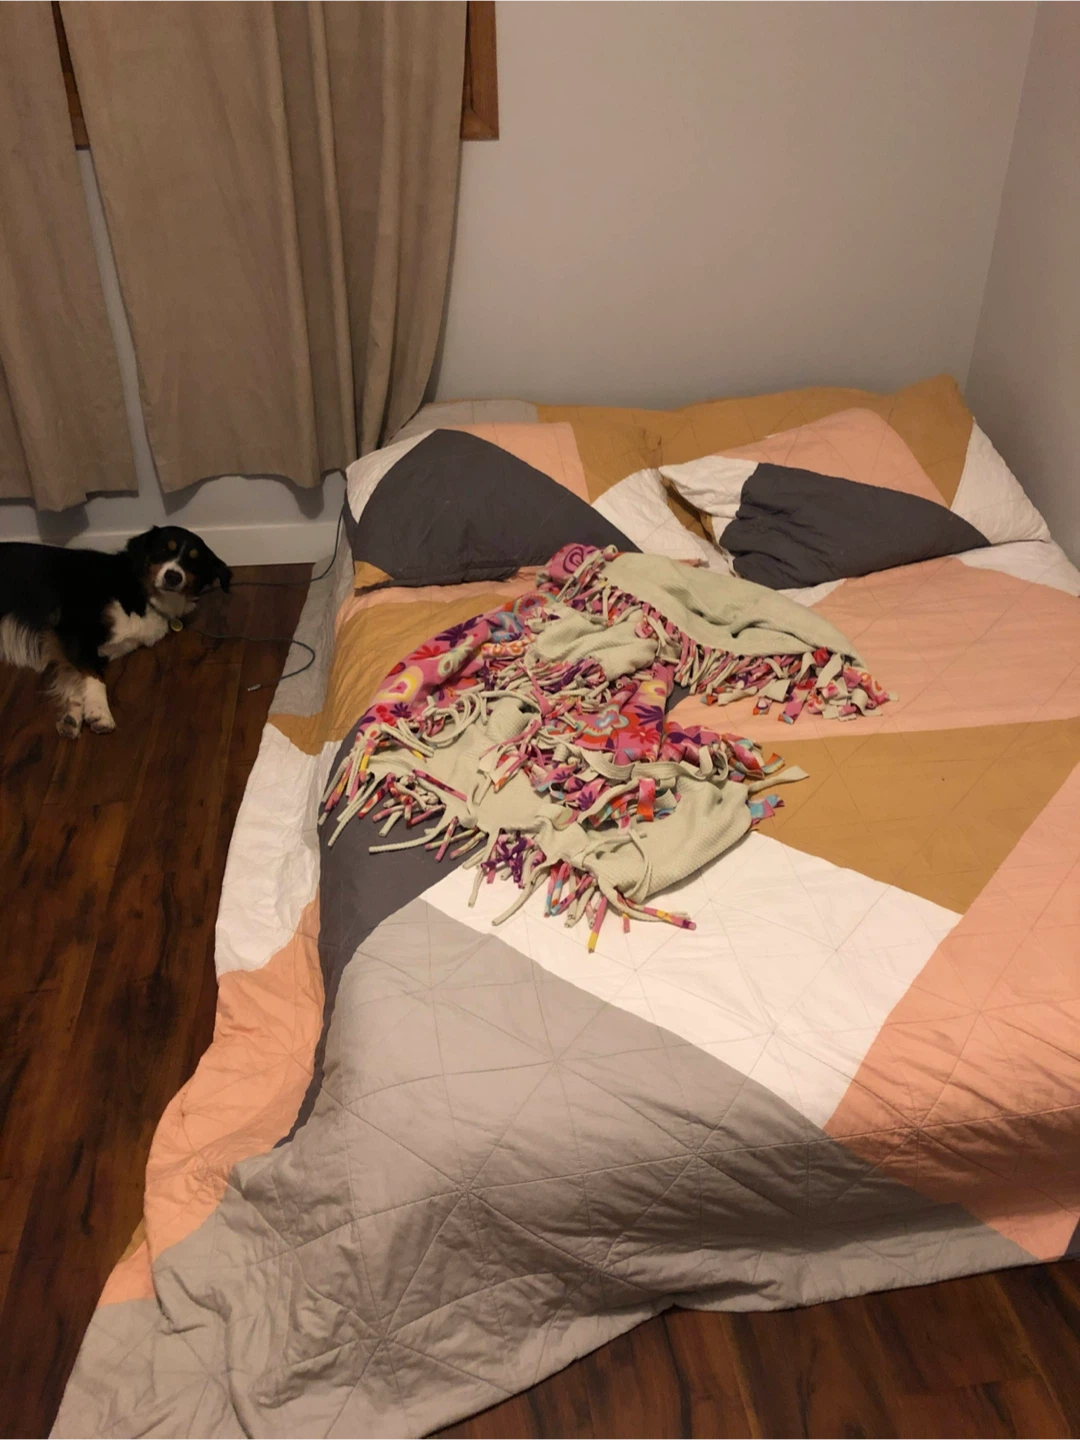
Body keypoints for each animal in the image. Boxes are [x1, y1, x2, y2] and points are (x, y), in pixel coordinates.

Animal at [0, 525, 231, 737]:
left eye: (194, 561)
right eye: (164, 549)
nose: (173, 576)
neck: (142, 594)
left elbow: (75, 677)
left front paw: (72, 715)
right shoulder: (71, 628)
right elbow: (95, 675)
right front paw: (99, 712)